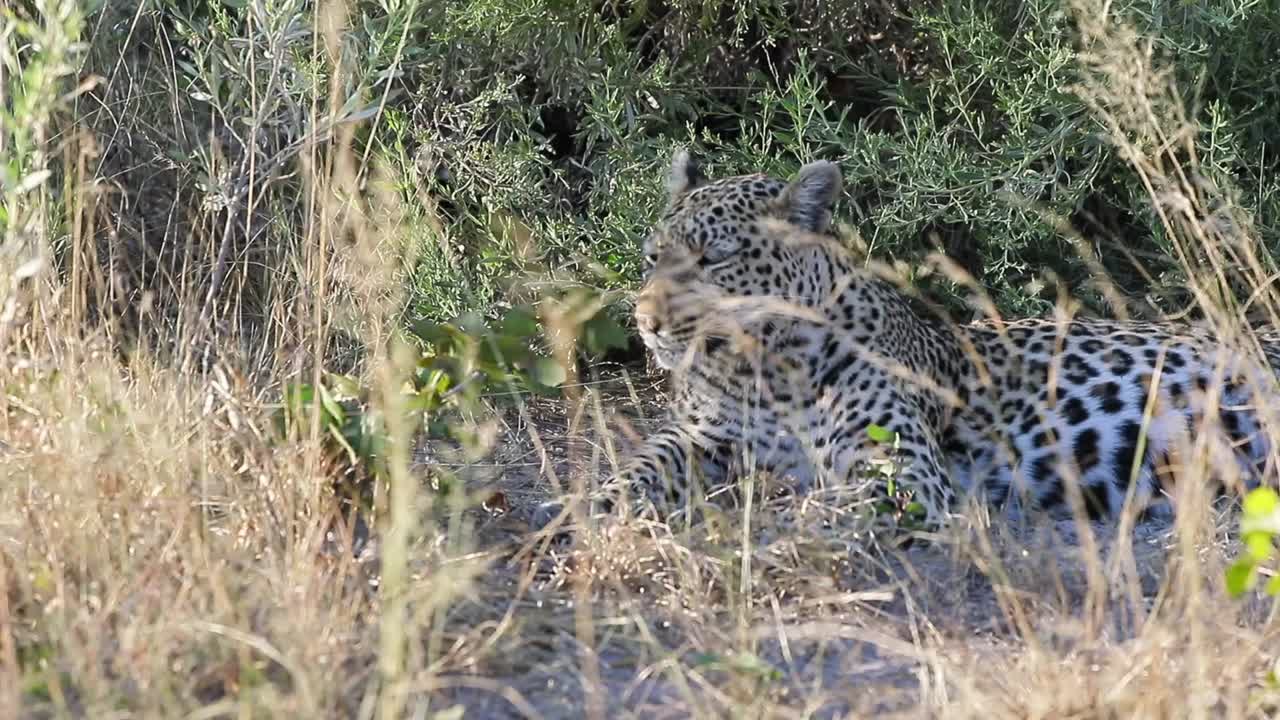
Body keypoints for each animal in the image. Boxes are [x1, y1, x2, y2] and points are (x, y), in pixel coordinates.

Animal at [538, 150, 1280, 535]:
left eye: (713, 260)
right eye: (651, 259)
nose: (647, 321)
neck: (764, 373)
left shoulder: (902, 471)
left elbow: (827, 508)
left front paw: (767, 530)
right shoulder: (698, 437)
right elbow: (638, 468)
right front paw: (587, 511)